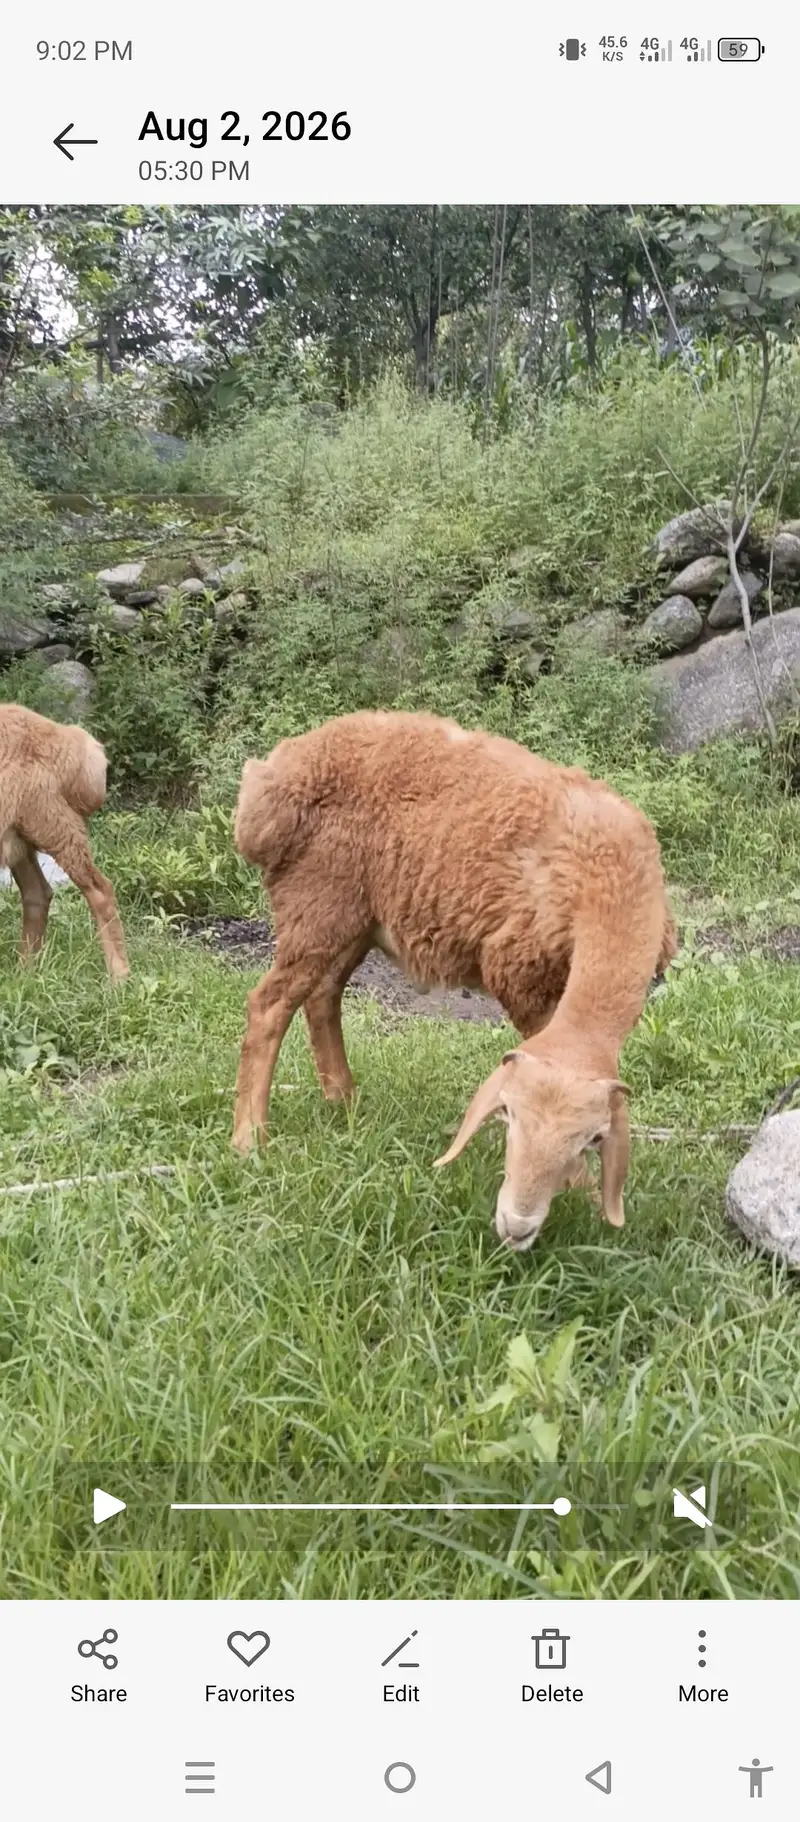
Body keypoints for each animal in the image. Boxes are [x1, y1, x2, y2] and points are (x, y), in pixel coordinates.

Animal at [0, 704, 129, 981]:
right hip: (19, 840)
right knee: (37, 893)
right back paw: (25, 974)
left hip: (54, 826)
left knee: (100, 890)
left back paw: (119, 977)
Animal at [231, 709, 676, 1248]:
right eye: (508, 1117)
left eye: (591, 1138)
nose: (516, 1226)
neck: (609, 876)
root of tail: (272, 779)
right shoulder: (521, 974)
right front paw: (587, 1193)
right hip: (317, 902)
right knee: (268, 1006)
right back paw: (250, 1139)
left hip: (352, 917)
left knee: (323, 995)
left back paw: (344, 1101)